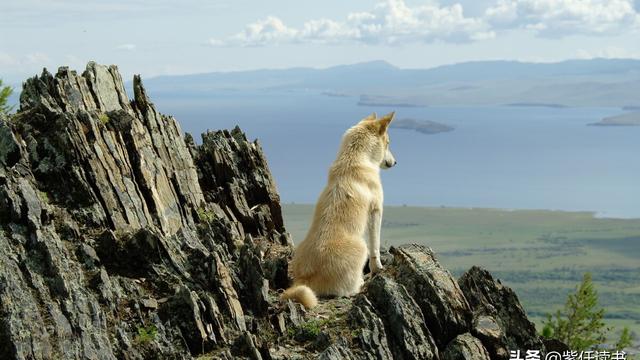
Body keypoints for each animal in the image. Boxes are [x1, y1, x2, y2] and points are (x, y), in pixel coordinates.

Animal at [280, 111, 396, 308]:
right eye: (387, 143)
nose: (395, 162)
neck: (355, 158)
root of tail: (305, 280)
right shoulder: (375, 211)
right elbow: (375, 247)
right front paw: (378, 269)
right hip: (361, 247)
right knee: (349, 288)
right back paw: (361, 283)